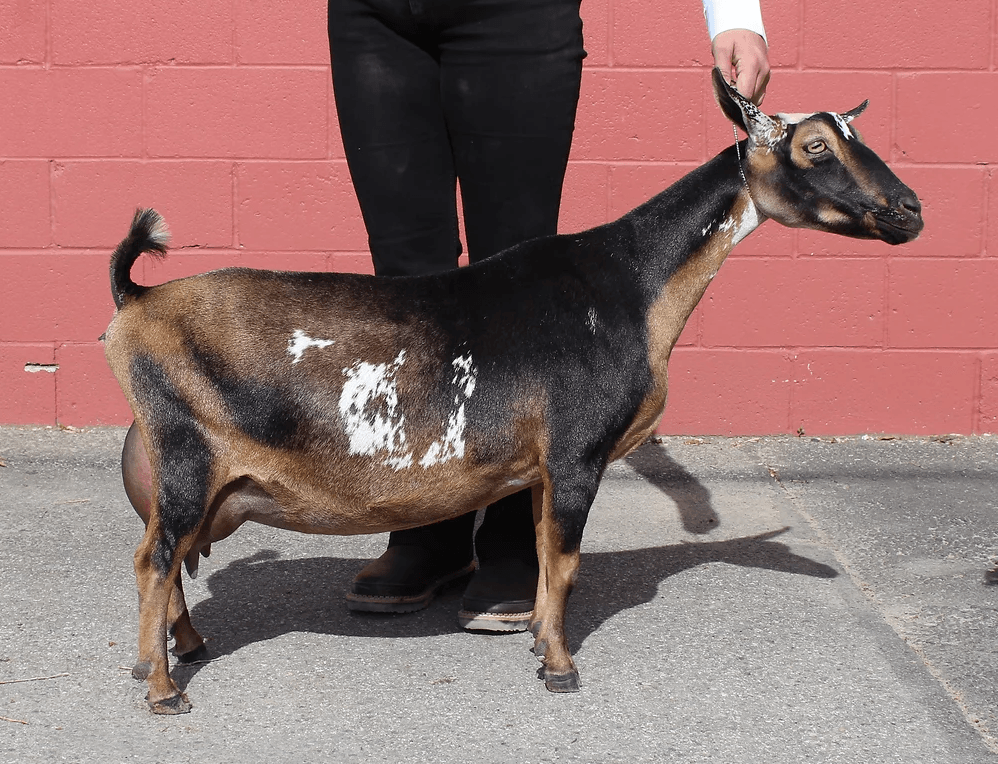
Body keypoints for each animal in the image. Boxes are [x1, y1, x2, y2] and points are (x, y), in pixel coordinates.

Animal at [104, 70, 923, 714]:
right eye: (815, 146)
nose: (910, 210)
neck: (630, 284)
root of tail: (136, 302)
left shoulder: (541, 467)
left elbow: (540, 554)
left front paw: (533, 637)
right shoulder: (577, 451)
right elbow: (564, 562)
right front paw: (559, 668)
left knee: (172, 562)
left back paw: (178, 650)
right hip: (186, 452)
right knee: (154, 559)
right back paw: (164, 690)